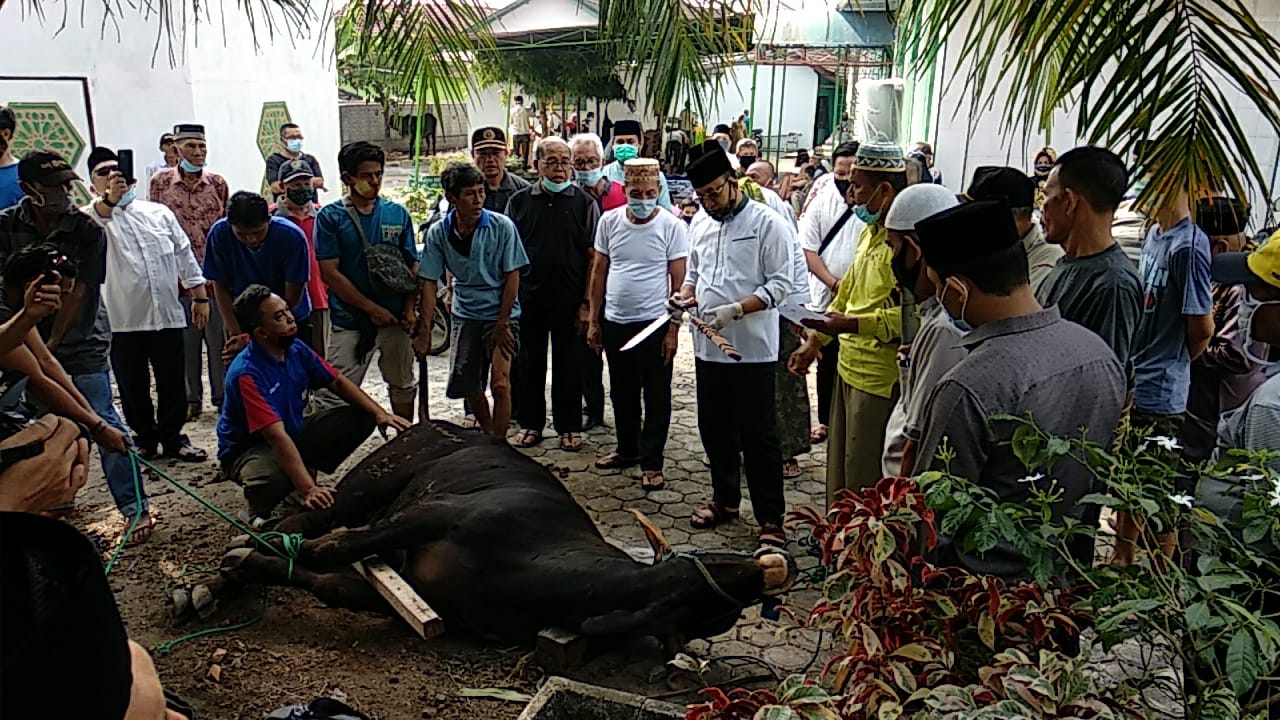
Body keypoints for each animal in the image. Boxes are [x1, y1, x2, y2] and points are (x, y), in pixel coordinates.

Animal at [206, 417, 793, 640]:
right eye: (713, 568)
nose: (770, 564)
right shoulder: (432, 514)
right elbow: (331, 549)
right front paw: (246, 558)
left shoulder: (408, 600)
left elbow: (327, 582)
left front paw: (247, 566)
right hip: (371, 481)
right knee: (317, 517)